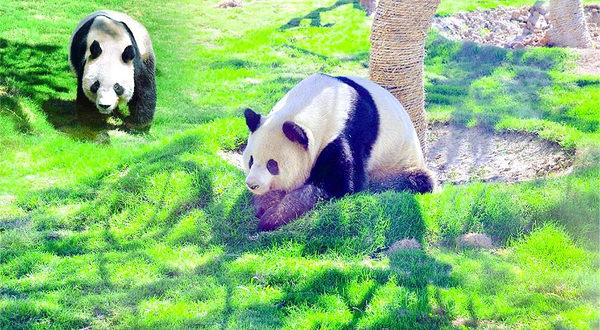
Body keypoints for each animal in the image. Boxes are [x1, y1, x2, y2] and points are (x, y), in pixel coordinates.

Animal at [241, 73, 434, 231]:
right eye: (251, 160)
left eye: (272, 165)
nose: (252, 184)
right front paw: (265, 203)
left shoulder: (347, 133)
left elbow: (337, 186)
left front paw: (272, 217)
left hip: (399, 162)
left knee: (417, 180)